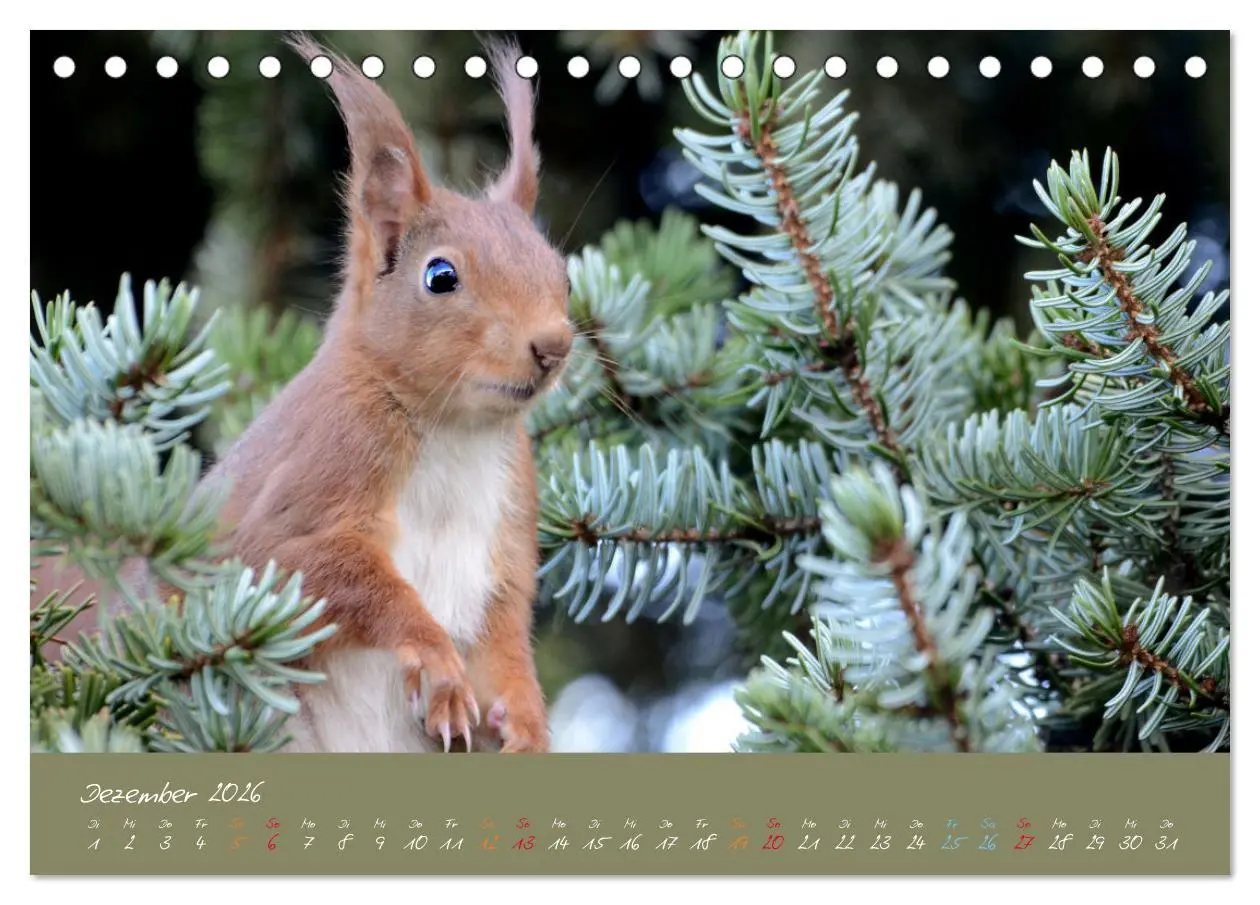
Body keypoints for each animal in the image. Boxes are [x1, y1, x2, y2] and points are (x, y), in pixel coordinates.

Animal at [194, 33, 573, 754]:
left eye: (562, 272)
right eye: (441, 276)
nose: (555, 345)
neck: (455, 431)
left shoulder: (505, 548)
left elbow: (506, 647)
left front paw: (527, 722)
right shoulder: (312, 480)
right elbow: (318, 567)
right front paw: (435, 660)